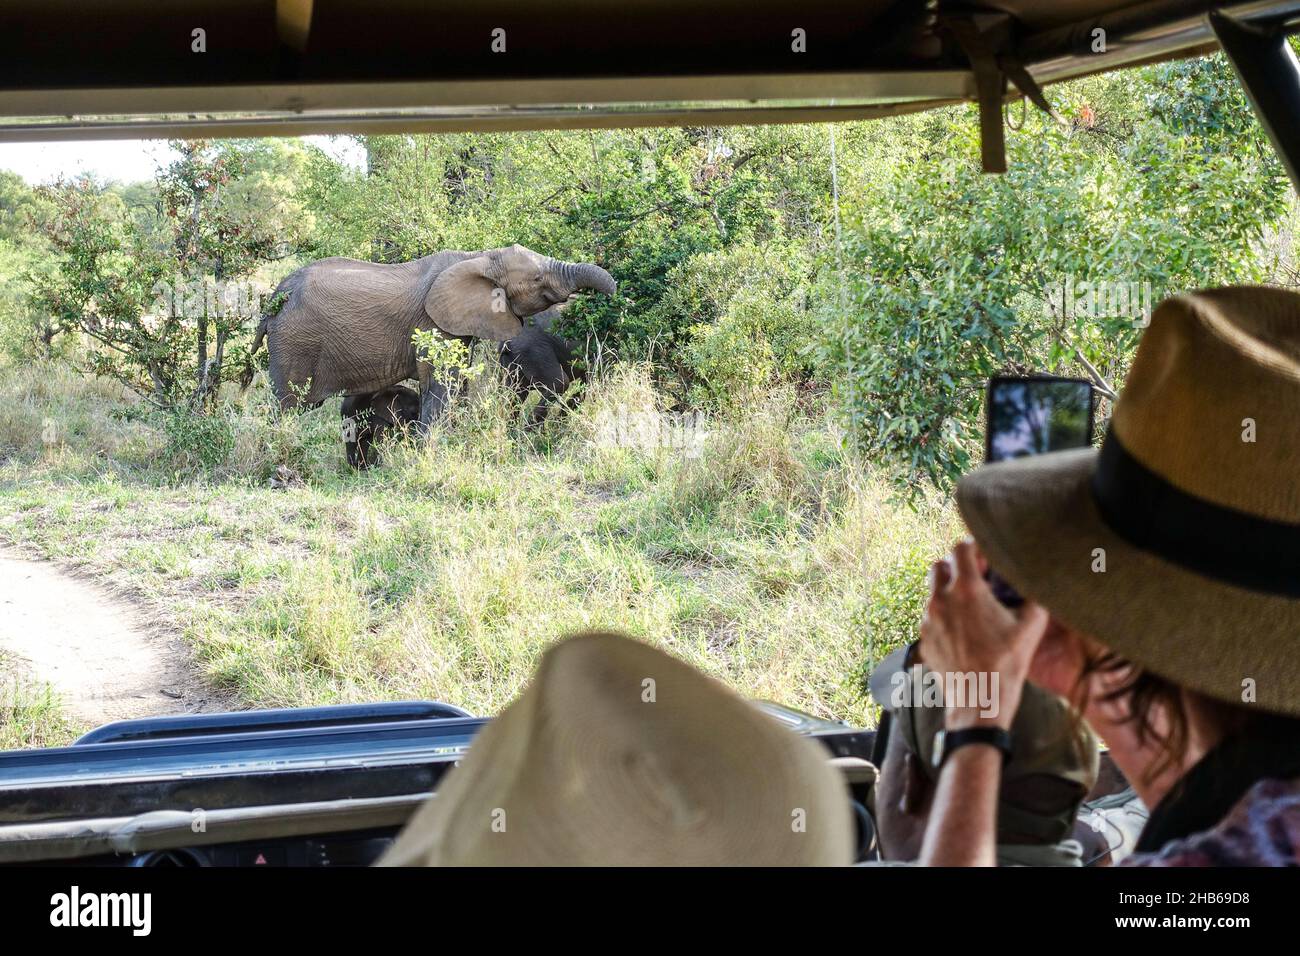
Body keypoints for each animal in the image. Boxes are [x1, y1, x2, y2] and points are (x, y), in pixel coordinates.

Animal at [256, 244, 621, 429]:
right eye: (536, 279)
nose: (615, 299)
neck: (478, 256)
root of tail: (276, 296)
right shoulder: (432, 325)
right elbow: (441, 386)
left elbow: (458, 385)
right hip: (294, 341)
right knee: (288, 406)